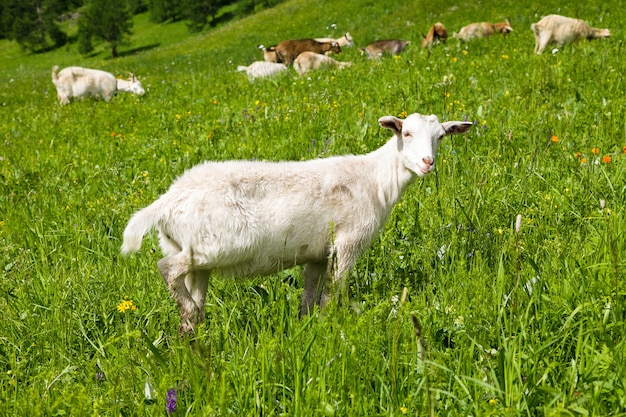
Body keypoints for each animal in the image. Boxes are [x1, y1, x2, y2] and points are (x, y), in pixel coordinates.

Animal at [122, 111, 470, 334]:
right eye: (405, 133)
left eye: (440, 137)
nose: (428, 163)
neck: (374, 180)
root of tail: (167, 201)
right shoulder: (347, 243)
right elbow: (334, 290)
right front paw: (331, 323)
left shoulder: (317, 253)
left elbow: (310, 296)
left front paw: (308, 327)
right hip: (218, 246)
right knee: (167, 268)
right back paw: (187, 311)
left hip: (191, 251)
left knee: (192, 288)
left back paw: (191, 329)